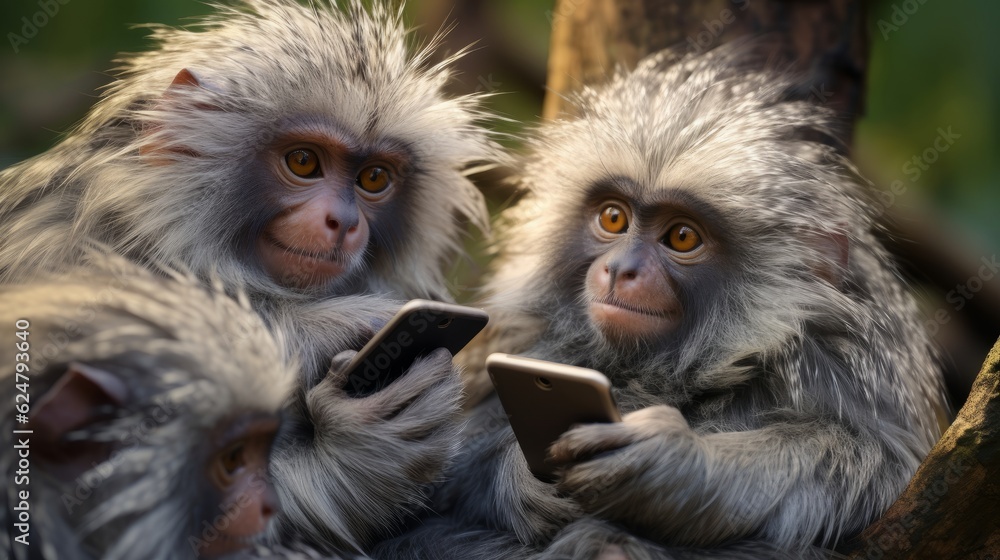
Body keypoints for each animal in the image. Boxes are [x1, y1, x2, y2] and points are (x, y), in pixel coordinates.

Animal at [420, 46, 950, 559]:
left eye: (681, 237)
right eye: (613, 218)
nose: (621, 269)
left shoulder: (840, 360)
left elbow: (877, 465)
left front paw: (677, 464)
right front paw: (520, 477)